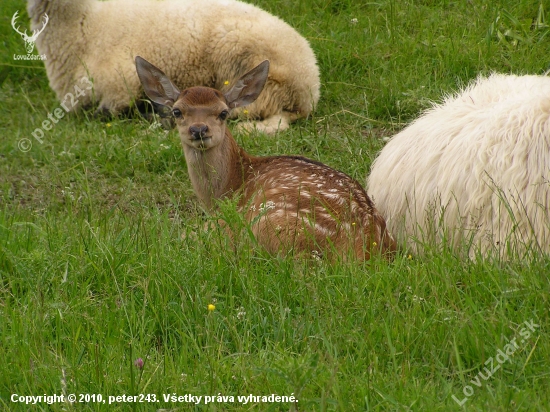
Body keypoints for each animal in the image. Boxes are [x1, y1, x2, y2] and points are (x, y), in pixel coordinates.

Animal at [136, 56, 398, 260]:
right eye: (177, 111)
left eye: (223, 113)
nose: (199, 129)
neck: (231, 185)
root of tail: (365, 247)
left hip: (269, 222)